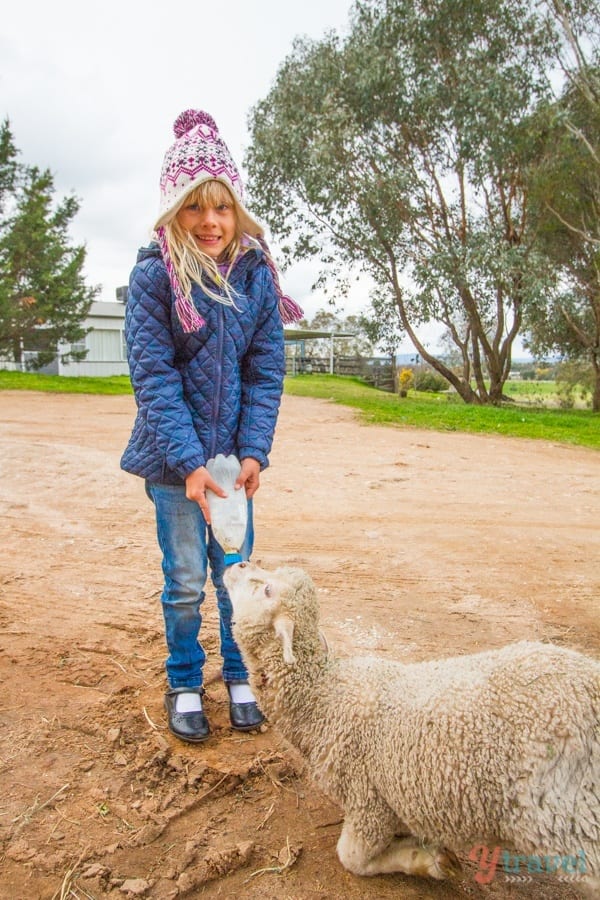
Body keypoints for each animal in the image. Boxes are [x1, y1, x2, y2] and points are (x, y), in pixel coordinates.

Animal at [225, 564, 600, 884]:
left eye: (267, 590)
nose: (237, 564)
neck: (324, 696)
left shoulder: (368, 800)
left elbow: (352, 857)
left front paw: (428, 861)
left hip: (576, 822)